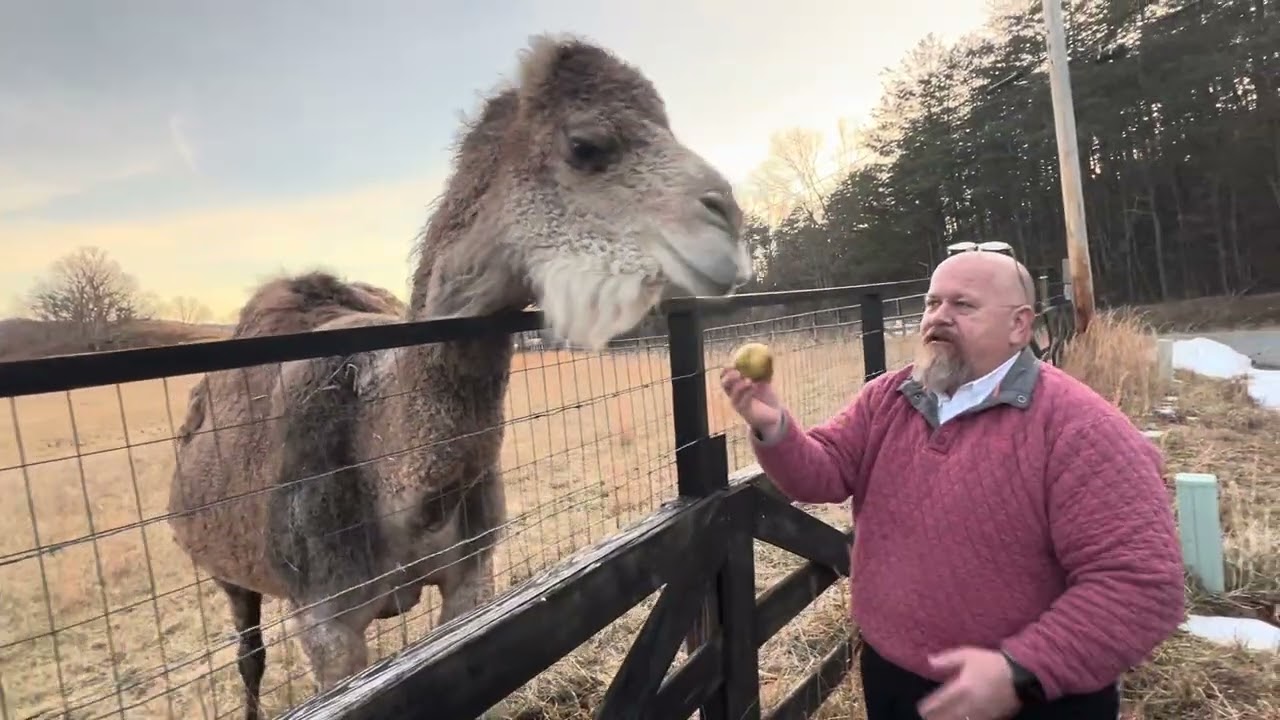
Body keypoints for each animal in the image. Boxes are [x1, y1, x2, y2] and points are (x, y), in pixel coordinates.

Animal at [167, 34, 751, 719]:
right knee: (249, 656)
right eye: (585, 146)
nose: (728, 219)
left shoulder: (474, 577)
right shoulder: (326, 625)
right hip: (226, 574)